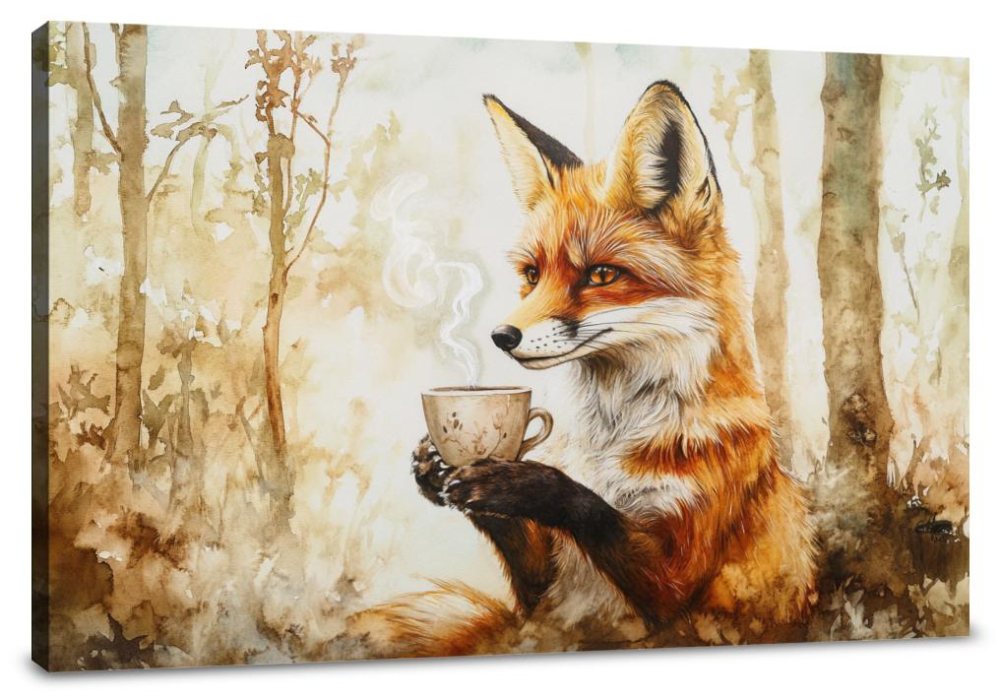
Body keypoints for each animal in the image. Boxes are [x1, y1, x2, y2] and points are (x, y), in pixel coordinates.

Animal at [347, 80, 817, 657]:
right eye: (532, 274)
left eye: (602, 275)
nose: (502, 337)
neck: (610, 439)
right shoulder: (543, 595)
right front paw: (438, 467)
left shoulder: (681, 586)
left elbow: (593, 510)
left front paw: (522, 484)